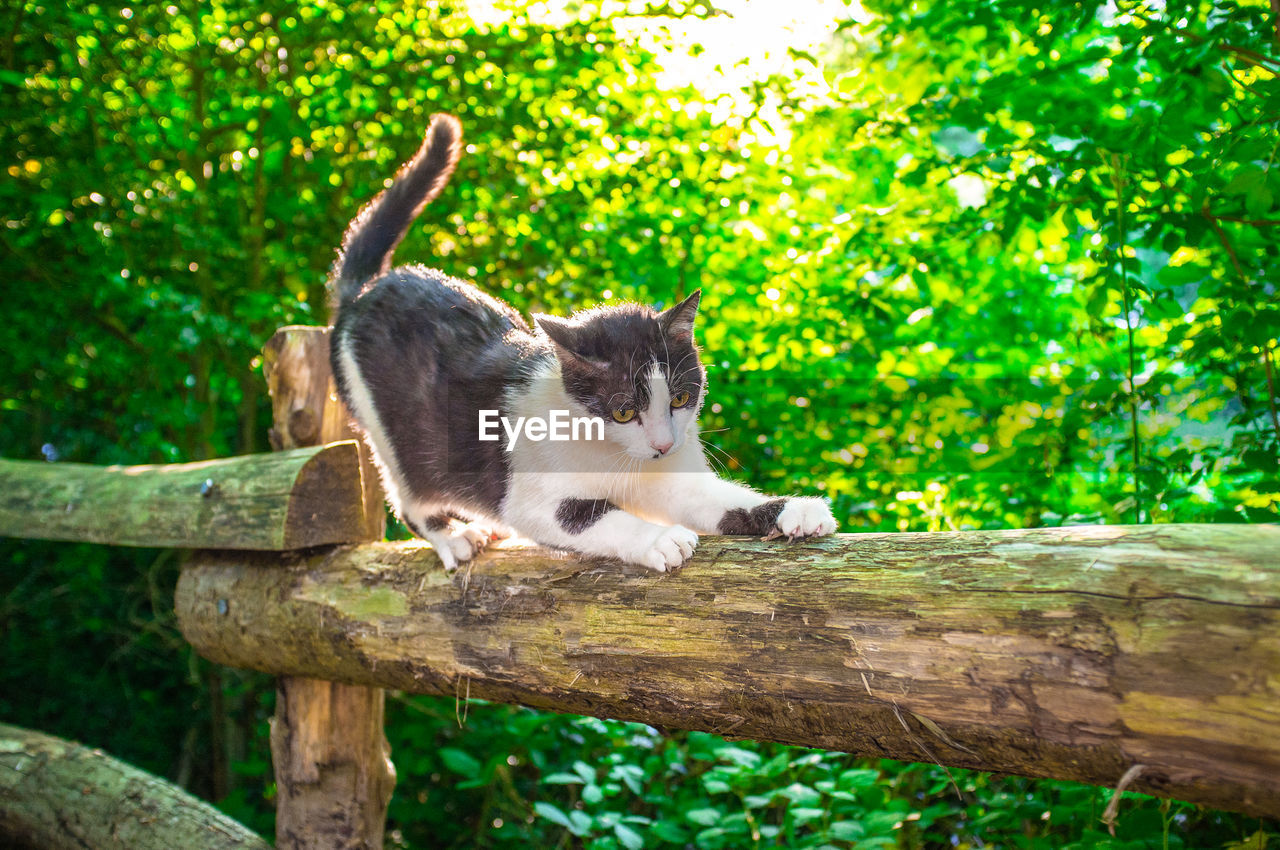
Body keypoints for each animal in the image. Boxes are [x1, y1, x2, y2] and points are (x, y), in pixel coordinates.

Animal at [327, 112, 839, 573]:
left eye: (679, 398)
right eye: (623, 411)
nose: (662, 445)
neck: (615, 454)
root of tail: (363, 290)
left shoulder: (671, 475)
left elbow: (715, 499)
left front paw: (792, 509)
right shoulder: (532, 499)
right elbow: (593, 516)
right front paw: (659, 539)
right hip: (391, 431)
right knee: (410, 493)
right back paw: (453, 536)